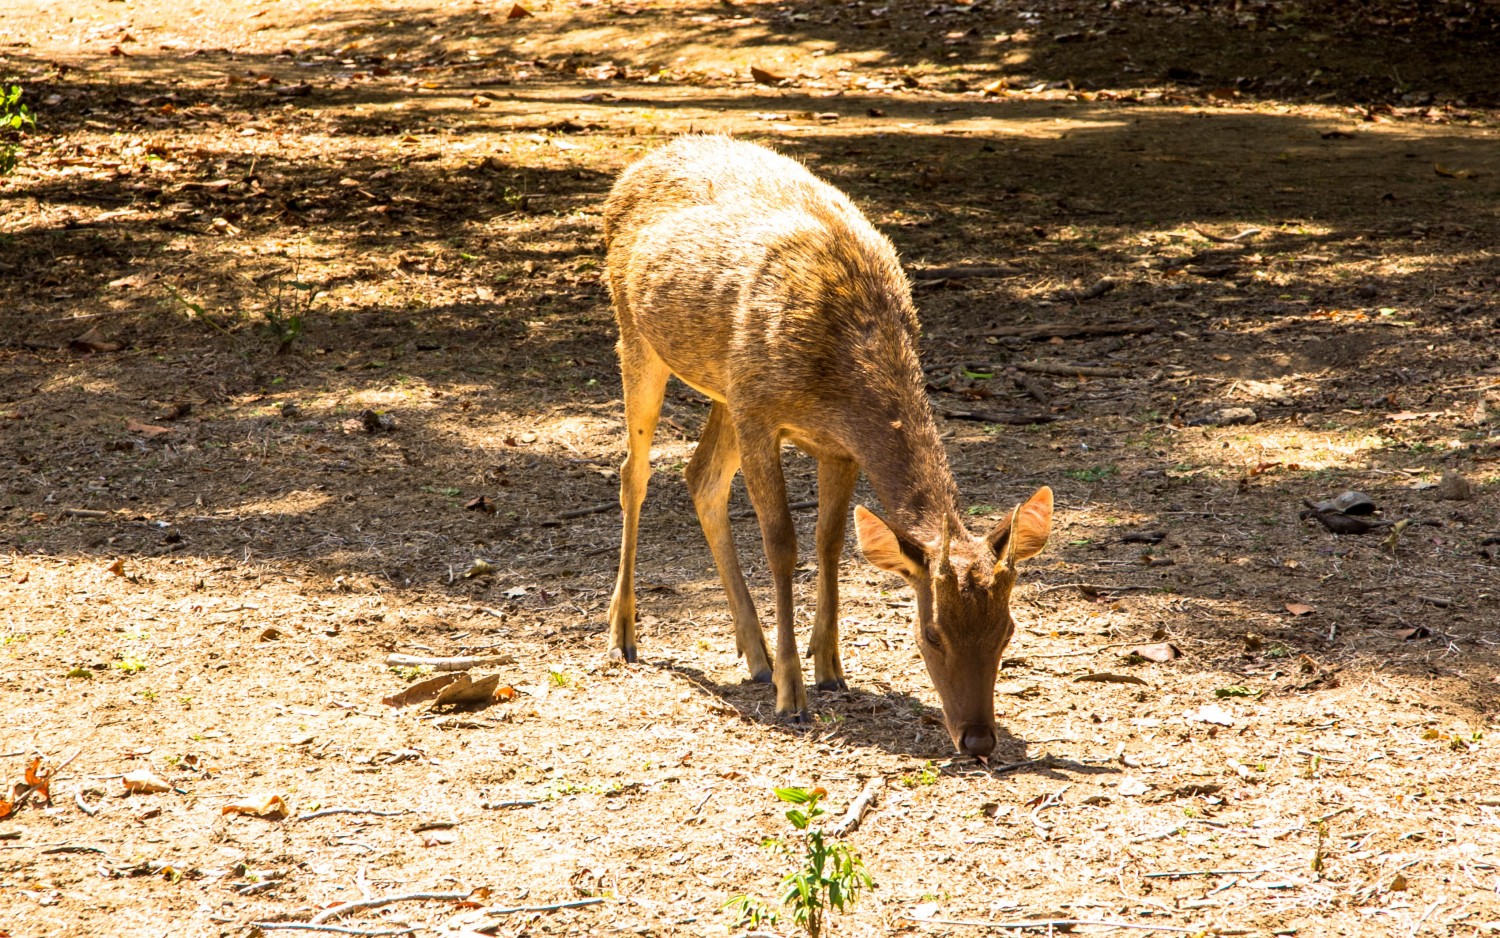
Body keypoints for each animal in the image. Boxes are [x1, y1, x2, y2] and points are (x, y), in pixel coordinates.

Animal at [600, 135, 1056, 756]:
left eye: (1008, 629)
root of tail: (637, 164)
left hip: (724, 388)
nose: (979, 739)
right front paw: (793, 695)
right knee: (634, 472)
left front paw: (831, 667)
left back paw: (753, 653)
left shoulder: (836, 445)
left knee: (701, 477)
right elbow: (783, 546)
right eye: (931, 632)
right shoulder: (761, 415)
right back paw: (623, 634)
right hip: (636, 335)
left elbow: (831, 543)